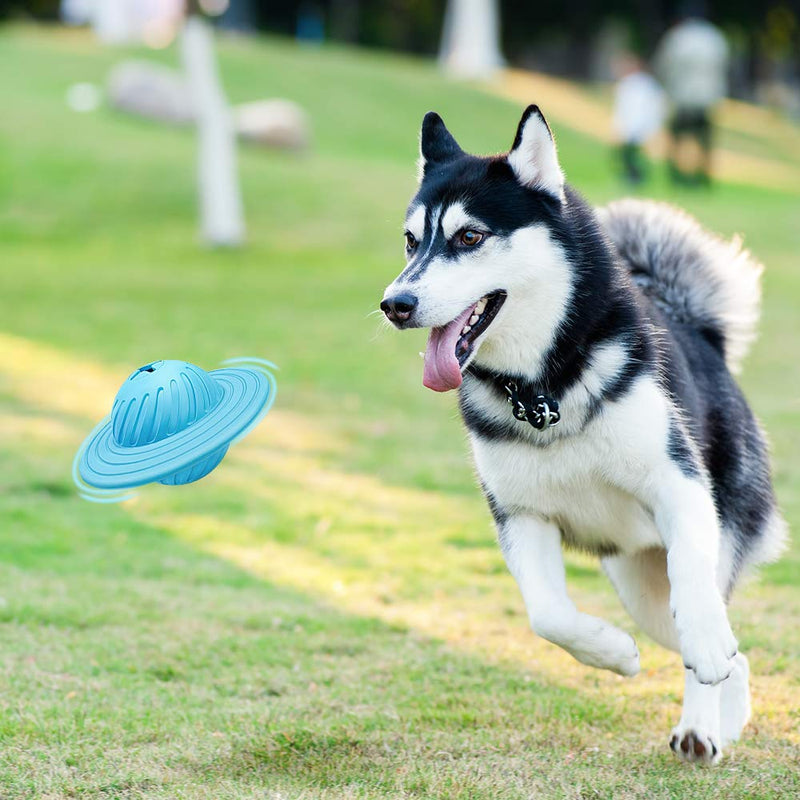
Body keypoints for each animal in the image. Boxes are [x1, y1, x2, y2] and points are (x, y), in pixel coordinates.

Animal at [382, 104, 788, 764]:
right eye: (412, 241)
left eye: (469, 237)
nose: (395, 303)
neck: (544, 388)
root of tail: (702, 334)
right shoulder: (521, 515)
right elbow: (548, 615)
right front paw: (612, 653)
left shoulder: (679, 484)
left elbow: (697, 598)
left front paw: (701, 650)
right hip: (639, 589)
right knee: (737, 656)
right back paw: (725, 715)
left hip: (704, 536)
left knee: (711, 623)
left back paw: (702, 724)